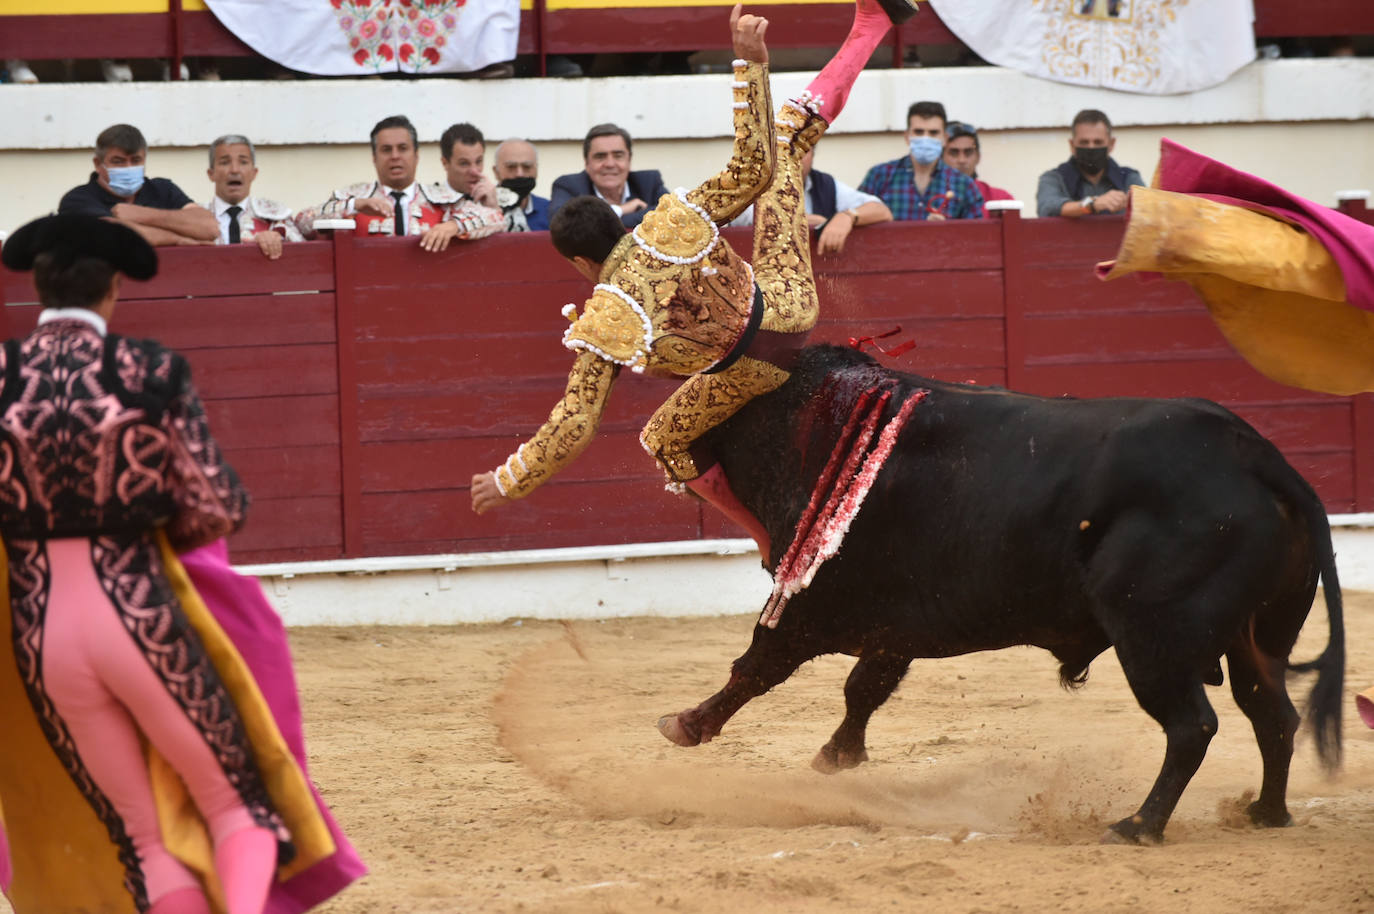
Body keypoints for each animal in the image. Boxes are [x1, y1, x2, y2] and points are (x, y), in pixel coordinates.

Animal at [654, 343, 1341, 841]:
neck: (814, 418)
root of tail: (1255, 457)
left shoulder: (809, 604)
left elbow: (757, 665)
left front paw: (685, 724)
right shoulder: (897, 620)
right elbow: (865, 686)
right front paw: (837, 757)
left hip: (1153, 638)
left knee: (1192, 726)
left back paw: (1138, 826)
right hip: (1260, 637)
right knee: (1272, 713)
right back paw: (1265, 813)